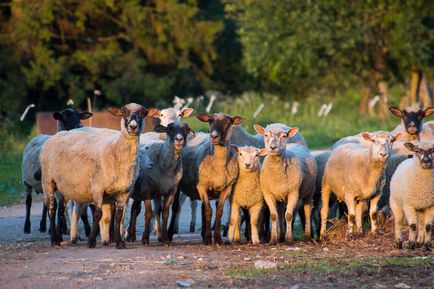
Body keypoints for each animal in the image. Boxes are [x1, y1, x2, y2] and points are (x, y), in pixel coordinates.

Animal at [39, 102, 159, 246]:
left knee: (61, 211)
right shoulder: (97, 188)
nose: (133, 126)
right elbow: (98, 214)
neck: (116, 151)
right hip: (48, 181)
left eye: (143, 113)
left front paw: (119, 242)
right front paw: (92, 241)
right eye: (123, 112)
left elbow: (118, 216)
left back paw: (59, 239)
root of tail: (56, 135)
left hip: (63, 186)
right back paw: (54, 239)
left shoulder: (123, 192)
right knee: (52, 209)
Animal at [167, 112, 242, 243]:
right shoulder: (201, 186)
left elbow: (218, 211)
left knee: (202, 207)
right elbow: (208, 211)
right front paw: (208, 239)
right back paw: (170, 234)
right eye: (210, 121)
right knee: (175, 207)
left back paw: (202, 233)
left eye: (228, 122)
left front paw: (217, 238)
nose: (213, 136)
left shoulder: (227, 188)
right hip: (178, 185)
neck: (219, 166)